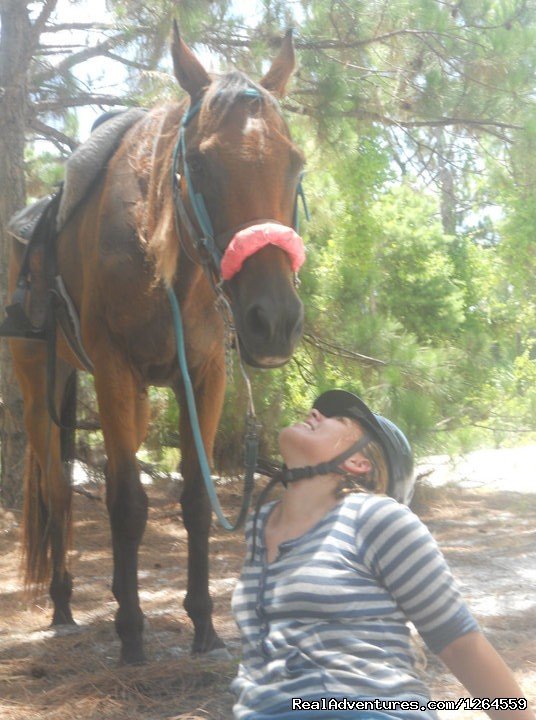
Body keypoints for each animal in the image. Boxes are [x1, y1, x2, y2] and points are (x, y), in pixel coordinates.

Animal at [7, 26, 306, 664]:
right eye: (201, 162)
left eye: (295, 165)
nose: (273, 321)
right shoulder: (114, 373)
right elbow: (126, 502)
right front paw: (131, 634)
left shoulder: (206, 376)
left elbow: (194, 499)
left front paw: (203, 627)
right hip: (41, 386)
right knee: (58, 492)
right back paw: (65, 604)